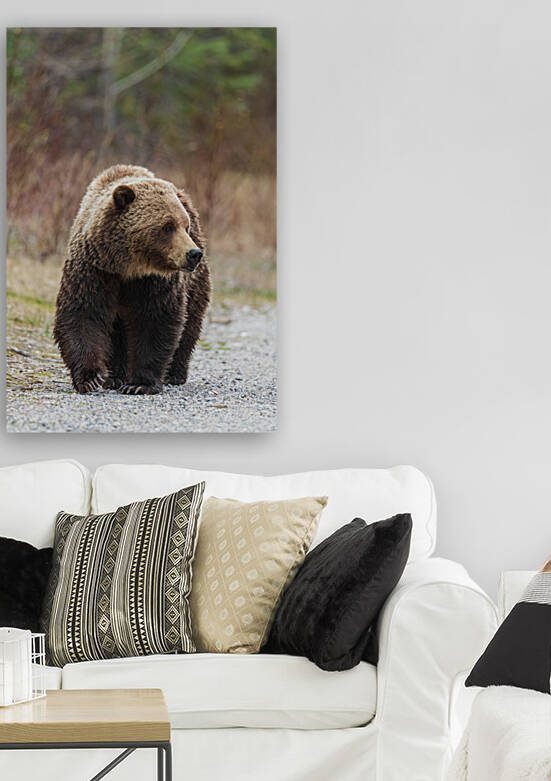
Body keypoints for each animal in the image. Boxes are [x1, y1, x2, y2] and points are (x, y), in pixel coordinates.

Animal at [54, 164, 211, 395]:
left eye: (185, 225)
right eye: (168, 226)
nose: (193, 254)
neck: (127, 267)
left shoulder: (155, 281)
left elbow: (155, 320)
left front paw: (139, 383)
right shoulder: (94, 270)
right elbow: (82, 313)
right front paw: (91, 378)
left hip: (195, 282)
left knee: (190, 322)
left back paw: (174, 374)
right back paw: (115, 377)